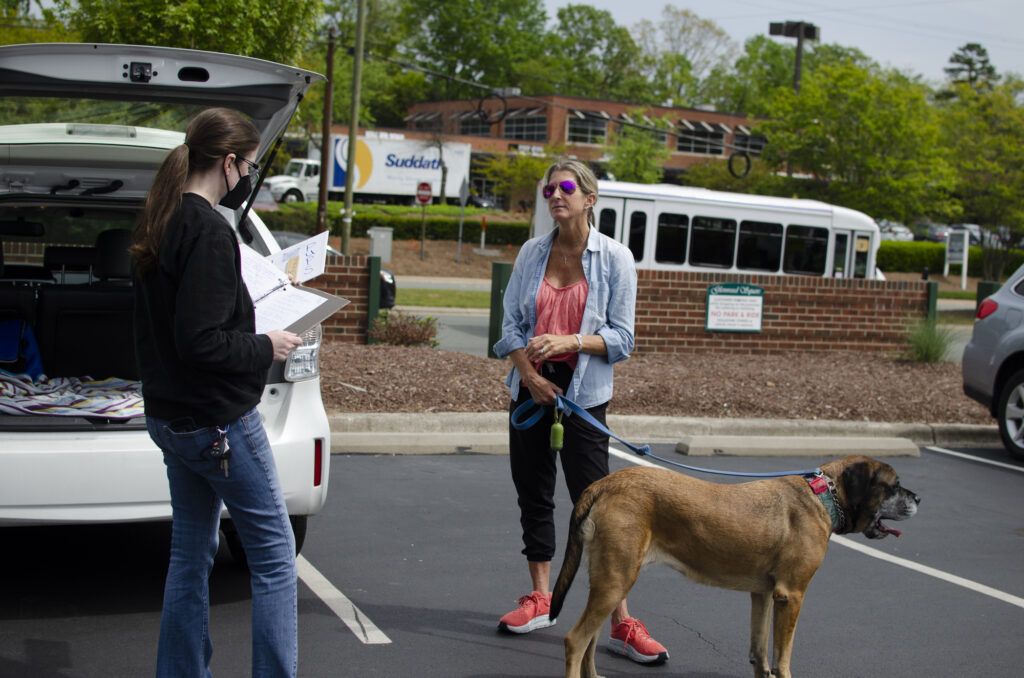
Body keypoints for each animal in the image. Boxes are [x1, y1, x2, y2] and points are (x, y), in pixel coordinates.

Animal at [552, 456, 921, 678]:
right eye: (893, 485)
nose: (919, 499)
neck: (824, 497)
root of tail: (603, 484)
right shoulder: (791, 596)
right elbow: (782, 658)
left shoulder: (763, 595)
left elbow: (760, 654)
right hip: (616, 579)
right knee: (574, 640)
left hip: (610, 580)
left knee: (589, 641)